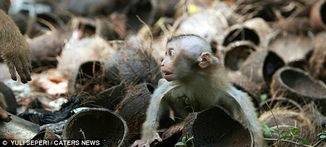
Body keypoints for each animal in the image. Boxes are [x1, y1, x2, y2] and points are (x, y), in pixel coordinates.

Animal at [131, 34, 264, 146]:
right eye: (166, 53)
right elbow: (159, 95)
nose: (162, 63)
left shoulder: (217, 81)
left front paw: (258, 140)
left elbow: (240, 97)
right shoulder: (176, 82)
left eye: (171, 53)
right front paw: (147, 138)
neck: (195, 76)